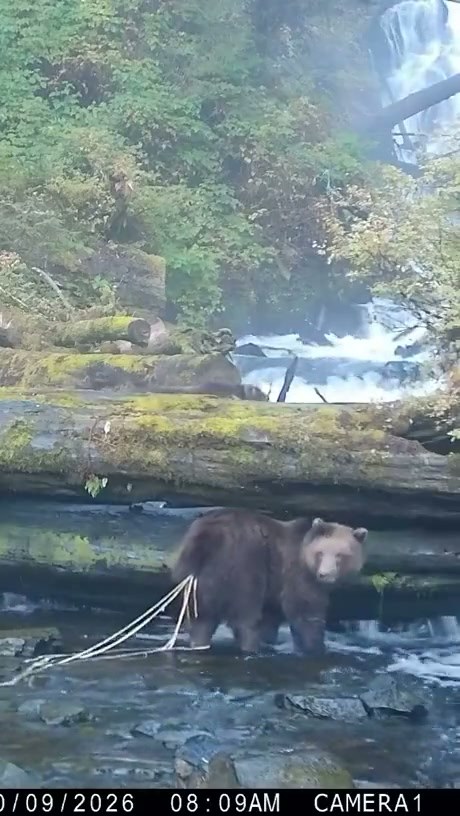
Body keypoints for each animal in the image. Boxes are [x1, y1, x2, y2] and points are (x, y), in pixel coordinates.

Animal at [170, 508, 368, 655]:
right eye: (320, 553)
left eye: (340, 555)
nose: (324, 574)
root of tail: (208, 537)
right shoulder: (295, 574)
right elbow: (304, 610)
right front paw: (315, 646)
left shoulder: (274, 587)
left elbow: (271, 618)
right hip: (243, 564)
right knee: (245, 615)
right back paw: (250, 645)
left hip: (193, 575)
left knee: (201, 618)